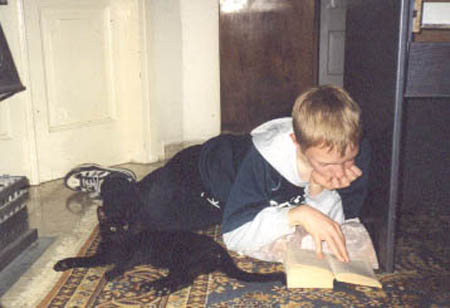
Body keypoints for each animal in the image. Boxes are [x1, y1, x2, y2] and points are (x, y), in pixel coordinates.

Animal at [52, 207, 284, 296]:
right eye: (111, 228)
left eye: (124, 226)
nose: (120, 233)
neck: (115, 246)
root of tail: (219, 249)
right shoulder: (101, 255)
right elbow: (82, 259)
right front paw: (63, 263)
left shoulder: (135, 252)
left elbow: (123, 263)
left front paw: (112, 272)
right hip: (181, 263)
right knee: (181, 279)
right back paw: (156, 286)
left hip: (183, 259)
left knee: (184, 280)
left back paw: (155, 287)